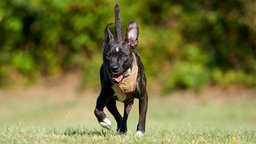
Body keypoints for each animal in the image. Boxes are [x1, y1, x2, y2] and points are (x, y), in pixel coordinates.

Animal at [94, 4, 149, 137]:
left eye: (124, 55)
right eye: (108, 55)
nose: (114, 68)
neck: (124, 80)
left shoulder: (143, 96)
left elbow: (142, 115)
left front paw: (140, 132)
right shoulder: (105, 95)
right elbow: (97, 109)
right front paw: (104, 122)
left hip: (129, 102)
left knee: (125, 114)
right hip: (115, 102)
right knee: (120, 116)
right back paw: (121, 128)